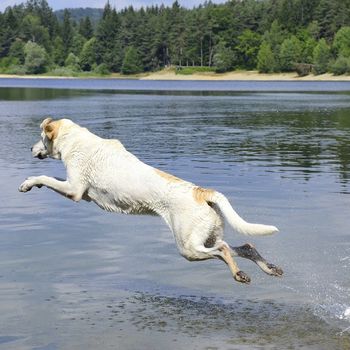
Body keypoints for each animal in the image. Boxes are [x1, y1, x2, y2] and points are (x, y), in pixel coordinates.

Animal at [18, 119, 282, 284]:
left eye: (40, 137)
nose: (30, 147)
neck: (74, 140)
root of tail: (202, 192)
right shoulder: (78, 191)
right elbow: (51, 178)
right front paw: (34, 183)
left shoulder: (74, 191)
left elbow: (46, 177)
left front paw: (29, 182)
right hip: (206, 237)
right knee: (245, 246)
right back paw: (269, 268)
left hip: (188, 247)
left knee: (224, 250)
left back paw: (239, 275)